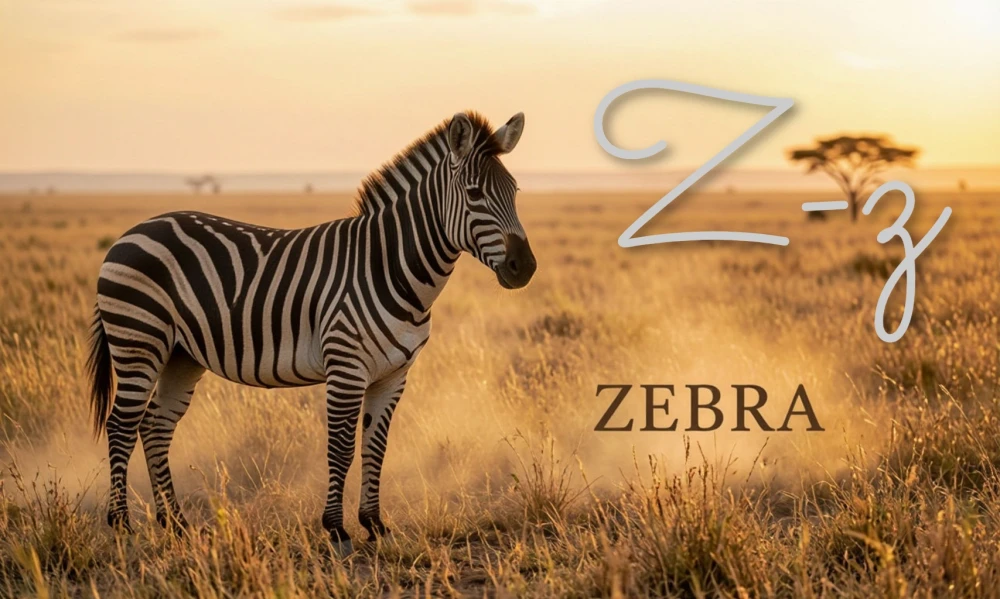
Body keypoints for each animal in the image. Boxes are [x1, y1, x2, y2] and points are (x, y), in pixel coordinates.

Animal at [86, 111, 535, 556]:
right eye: (474, 194)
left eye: (514, 191)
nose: (525, 268)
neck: (389, 267)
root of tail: (131, 233)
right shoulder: (346, 367)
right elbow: (342, 447)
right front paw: (337, 530)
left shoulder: (393, 375)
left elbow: (376, 446)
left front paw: (376, 525)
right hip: (139, 341)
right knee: (121, 426)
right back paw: (123, 527)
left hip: (181, 356)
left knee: (154, 427)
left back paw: (176, 525)